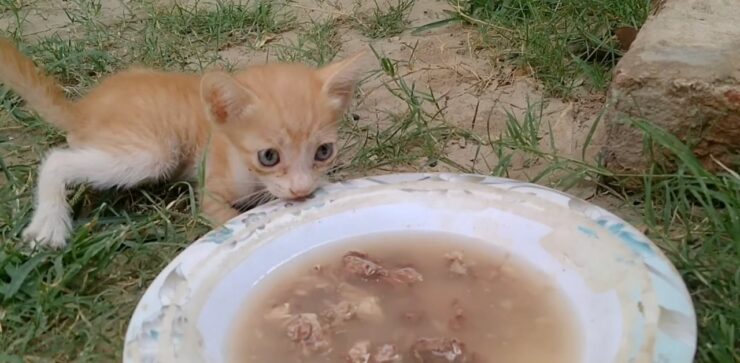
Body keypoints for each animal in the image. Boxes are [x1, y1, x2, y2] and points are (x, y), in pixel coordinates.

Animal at [0, 38, 368, 249]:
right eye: (268, 157)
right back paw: (49, 223)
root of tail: (83, 110)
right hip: (155, 152)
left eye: (323, 152)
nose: (302, 191)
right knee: (57, 158)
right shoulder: (211, 190)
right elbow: (227, 219)